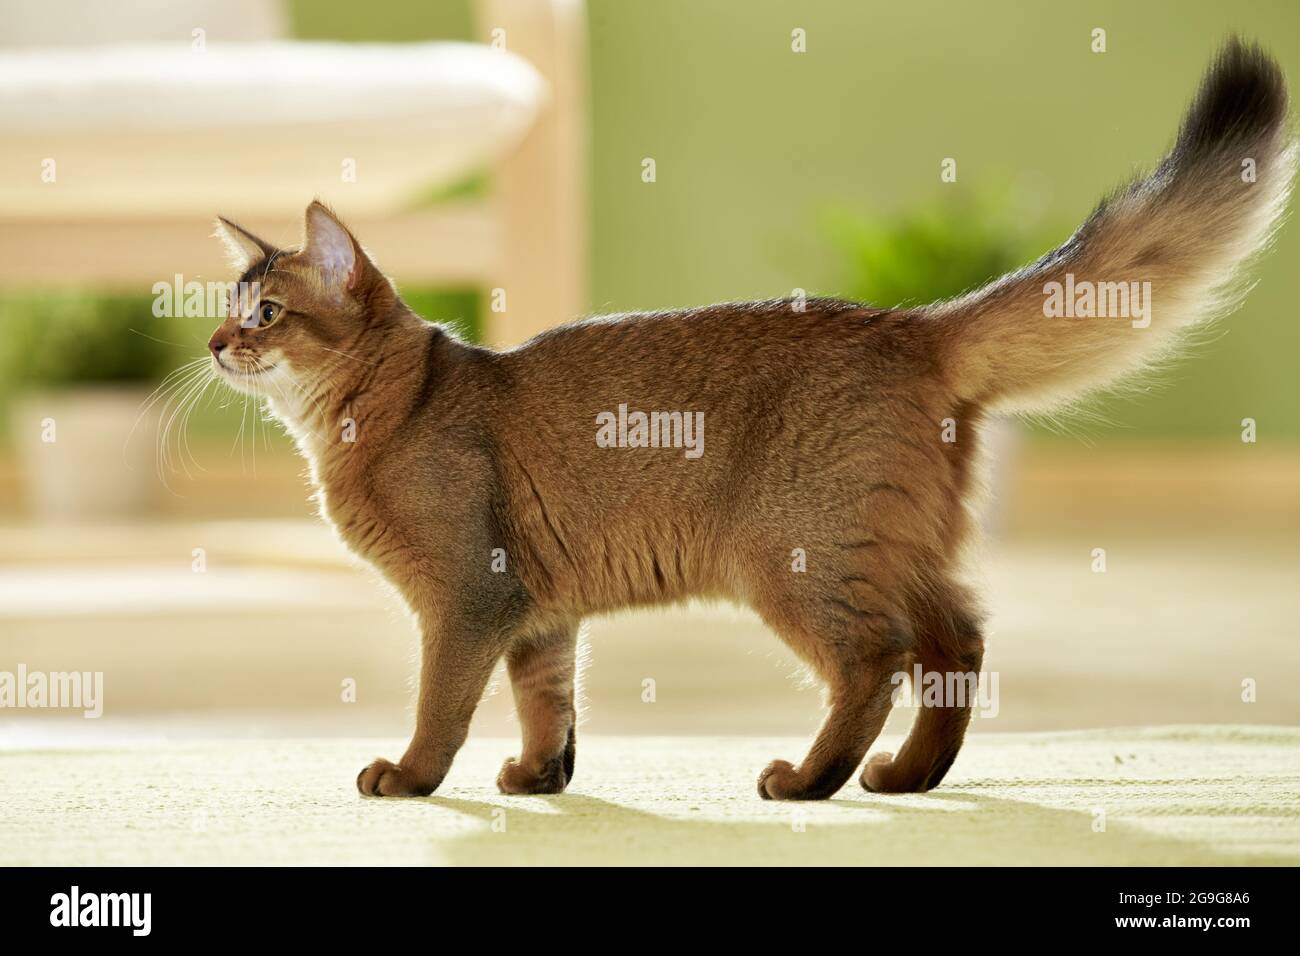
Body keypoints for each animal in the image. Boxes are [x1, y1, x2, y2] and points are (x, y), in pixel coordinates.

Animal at [202, 39, 1289, 801]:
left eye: (265, 314)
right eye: (228, 307)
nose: (213, 344)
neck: (390, 407)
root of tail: (911, 322)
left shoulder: (468, 595)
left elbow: (443, 702)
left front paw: (413, 776)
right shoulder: (540, 612)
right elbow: (547, 700)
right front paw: (538, 779)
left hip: (797, 553)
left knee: (878, 659)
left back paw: (810, 780)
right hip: (885, 541)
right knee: (959, 639)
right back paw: (907, 777)